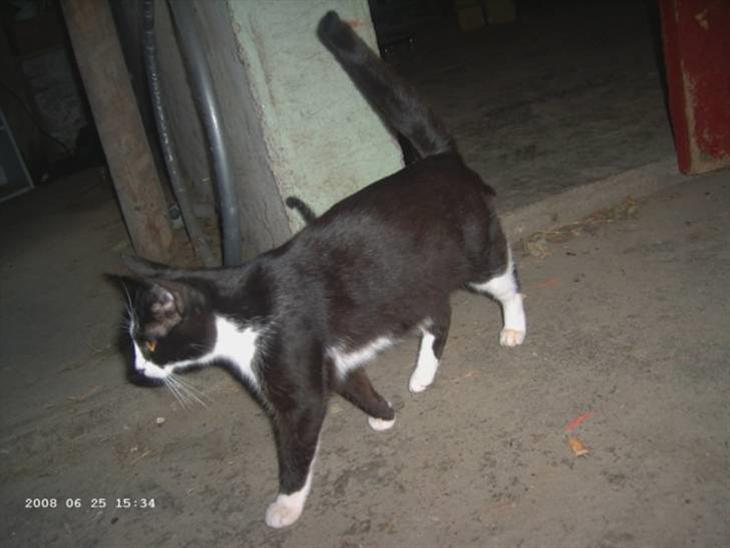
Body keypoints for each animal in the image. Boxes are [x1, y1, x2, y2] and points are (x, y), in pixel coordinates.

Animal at [120, 11, 526, 529]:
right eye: (133, 344)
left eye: (150, 343)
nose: (137, 368)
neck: (241, 313)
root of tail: (439, 160)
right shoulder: (331, 359)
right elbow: (356, 385)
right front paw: (384, 413)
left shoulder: (299, 385)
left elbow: (297, 446)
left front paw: (285, 505)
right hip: (410, 284)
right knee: (440, 314)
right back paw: (422, 374)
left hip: (477, 256)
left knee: (507, 281)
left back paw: (513, 327)